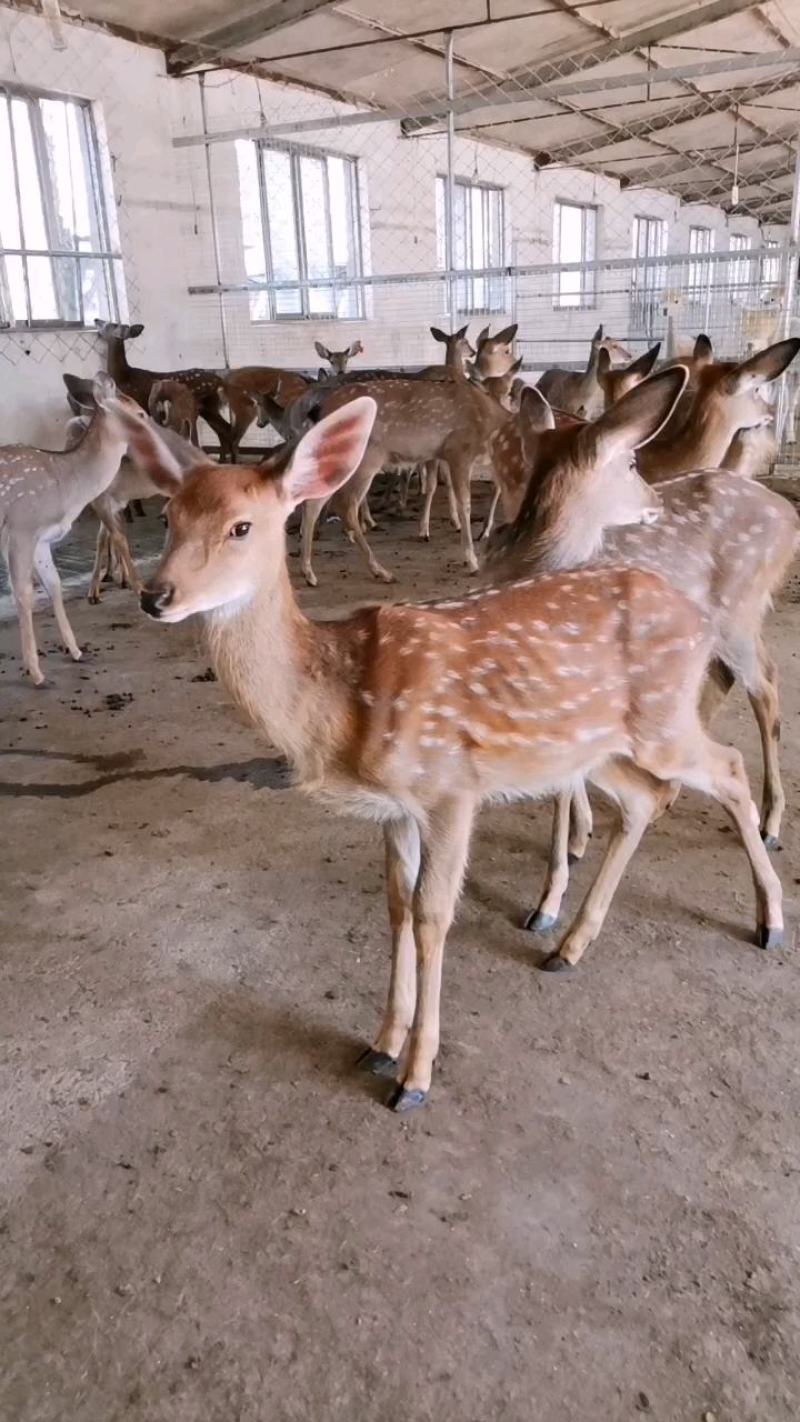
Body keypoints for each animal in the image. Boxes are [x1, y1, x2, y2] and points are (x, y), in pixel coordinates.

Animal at [0, 373, 163, 684]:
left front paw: (75, 650)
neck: (64, 486)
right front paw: (35, 672)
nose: (159, 442)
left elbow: (54, 584)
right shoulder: (21, 528)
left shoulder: (42, 539)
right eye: (139, 414)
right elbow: (23, 594)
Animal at [485, 372, 800, 950]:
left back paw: (770, 846)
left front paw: (549, 899)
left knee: (764, 690)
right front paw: (573, 848)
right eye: (631, 463)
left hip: (740, 614)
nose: (653, 500)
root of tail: (789, 515)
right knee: (726, 687)